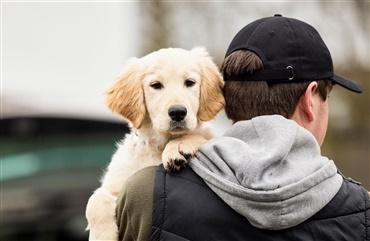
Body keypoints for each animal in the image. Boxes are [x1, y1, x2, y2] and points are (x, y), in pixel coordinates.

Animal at [85, 46, 224, 239]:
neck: (159, 145)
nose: (178, 112)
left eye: (189, 82)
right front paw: (102, 236)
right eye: (156, 85)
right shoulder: (117, 185)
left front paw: (178, 147)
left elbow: (201, 136)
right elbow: (94, 201)